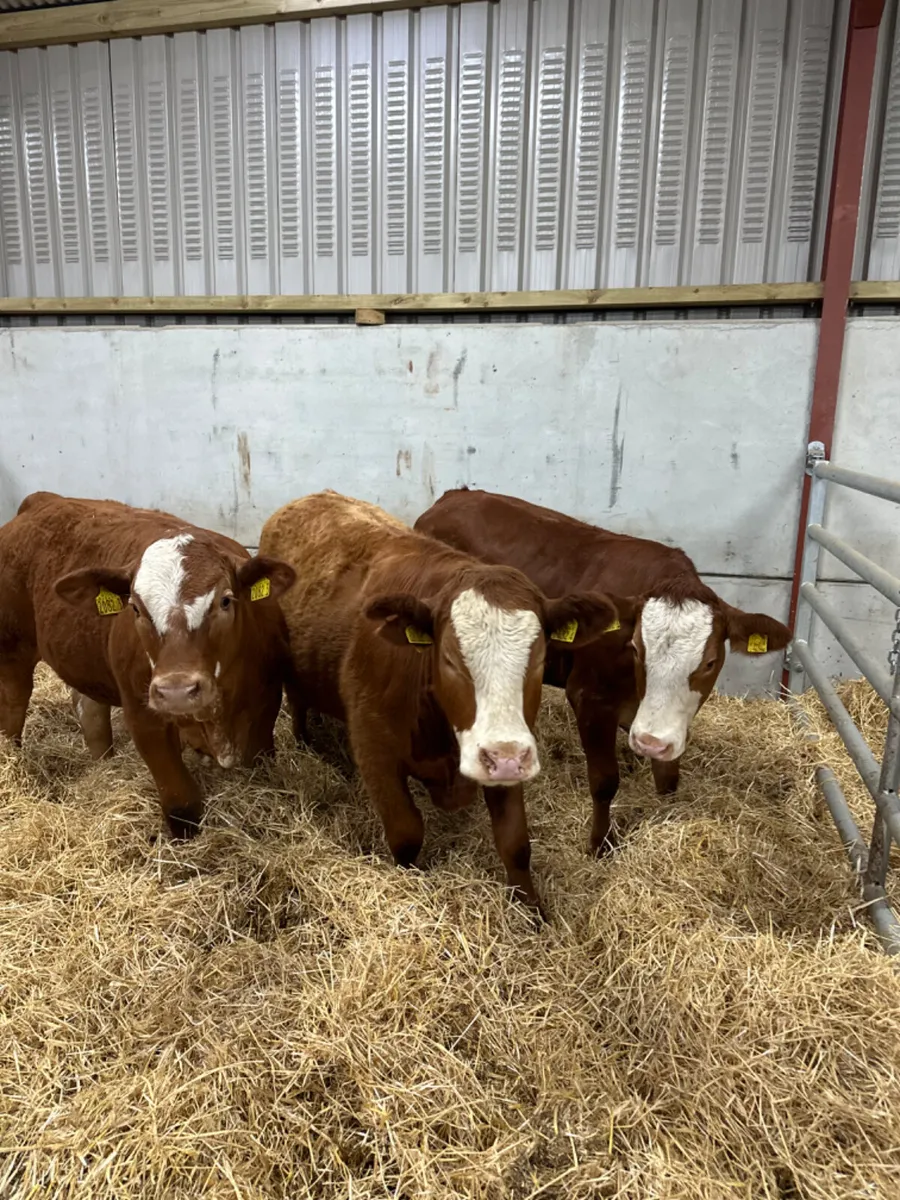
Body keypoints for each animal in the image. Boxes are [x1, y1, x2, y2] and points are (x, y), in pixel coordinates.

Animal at [0, 492, 296, 837]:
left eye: (225, 600)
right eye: (136, 609)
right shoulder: (144, 716)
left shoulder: (265, 706)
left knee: (89, 707)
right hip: (12, 649)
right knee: (13, 705)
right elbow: (182, 804)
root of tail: (43, 500)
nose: (177, 691)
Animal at [258, 491, 618, 911]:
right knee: (297, 701)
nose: (505, 758)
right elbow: (406, 835)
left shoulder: (505, 747)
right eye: (448, 658)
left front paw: (532, 912)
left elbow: (515, 844)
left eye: (540, 657)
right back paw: (304, 742)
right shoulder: (375, 751)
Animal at [415, 489, 792, 855]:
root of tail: (452, 497)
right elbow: (604, 781)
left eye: (710, 662)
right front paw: (600, 844)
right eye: (637, 649)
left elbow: (668, 777)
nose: (651, 743)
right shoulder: (590, 697)